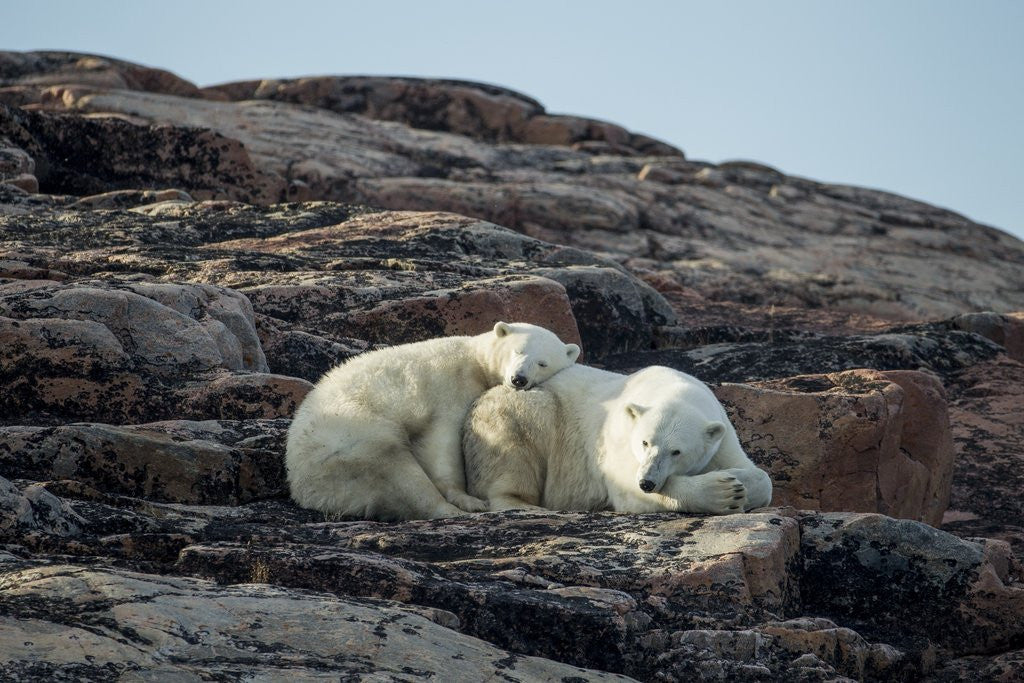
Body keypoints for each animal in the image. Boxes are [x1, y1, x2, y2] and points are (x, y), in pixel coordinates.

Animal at [285, 321, 580, 521]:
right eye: (517, 351)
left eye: (543, 363)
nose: (518, 379)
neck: (475, 360)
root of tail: (301, 483)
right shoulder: (449, 387)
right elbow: (441, 443)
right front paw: (464, 496)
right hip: (353, 439)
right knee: (399, 473)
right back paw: (458, 509)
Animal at [463, 364, 772, 514]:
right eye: (645, 442)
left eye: (676, 452)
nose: (647, 482)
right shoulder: (618, 438)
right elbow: (624, 486)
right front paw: (724, 492)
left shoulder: (722, 436)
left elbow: (760, 476)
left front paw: (741, 482)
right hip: (520, 408)